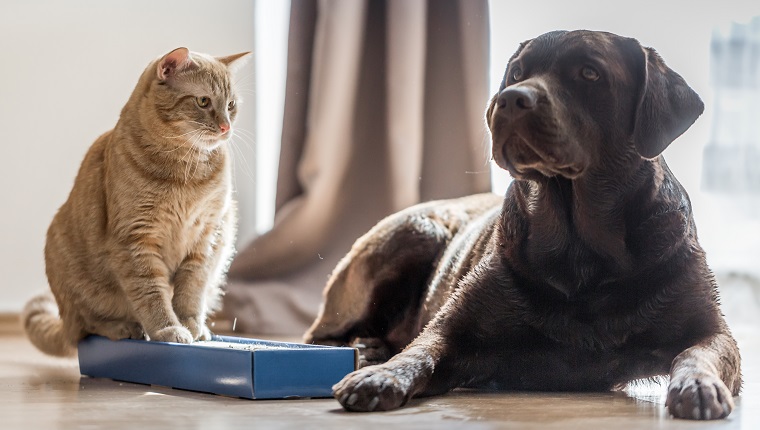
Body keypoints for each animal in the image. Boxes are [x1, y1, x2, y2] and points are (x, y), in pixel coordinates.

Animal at [21, 47, 249, 356]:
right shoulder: (136, 240)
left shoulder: (207, 239)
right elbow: (151, 294)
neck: (184, 172)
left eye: (231, 105)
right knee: (86, 328)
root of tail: (64, 319)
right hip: (72, 272)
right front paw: (168, 329)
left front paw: (191, 326)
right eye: (203, 101)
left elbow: (191, 292)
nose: (226, 127)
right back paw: (123, 328)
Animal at [304, 30, 744, 420]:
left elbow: (696, 353)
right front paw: (382, 376)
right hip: (414, 234)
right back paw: (368, 351)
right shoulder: (450, 330)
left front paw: (698, 385)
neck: (581, 250)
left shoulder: (712, 330)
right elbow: (419, 350)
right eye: (517, 72)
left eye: (589, 73)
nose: (510, 99)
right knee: (320, 336)